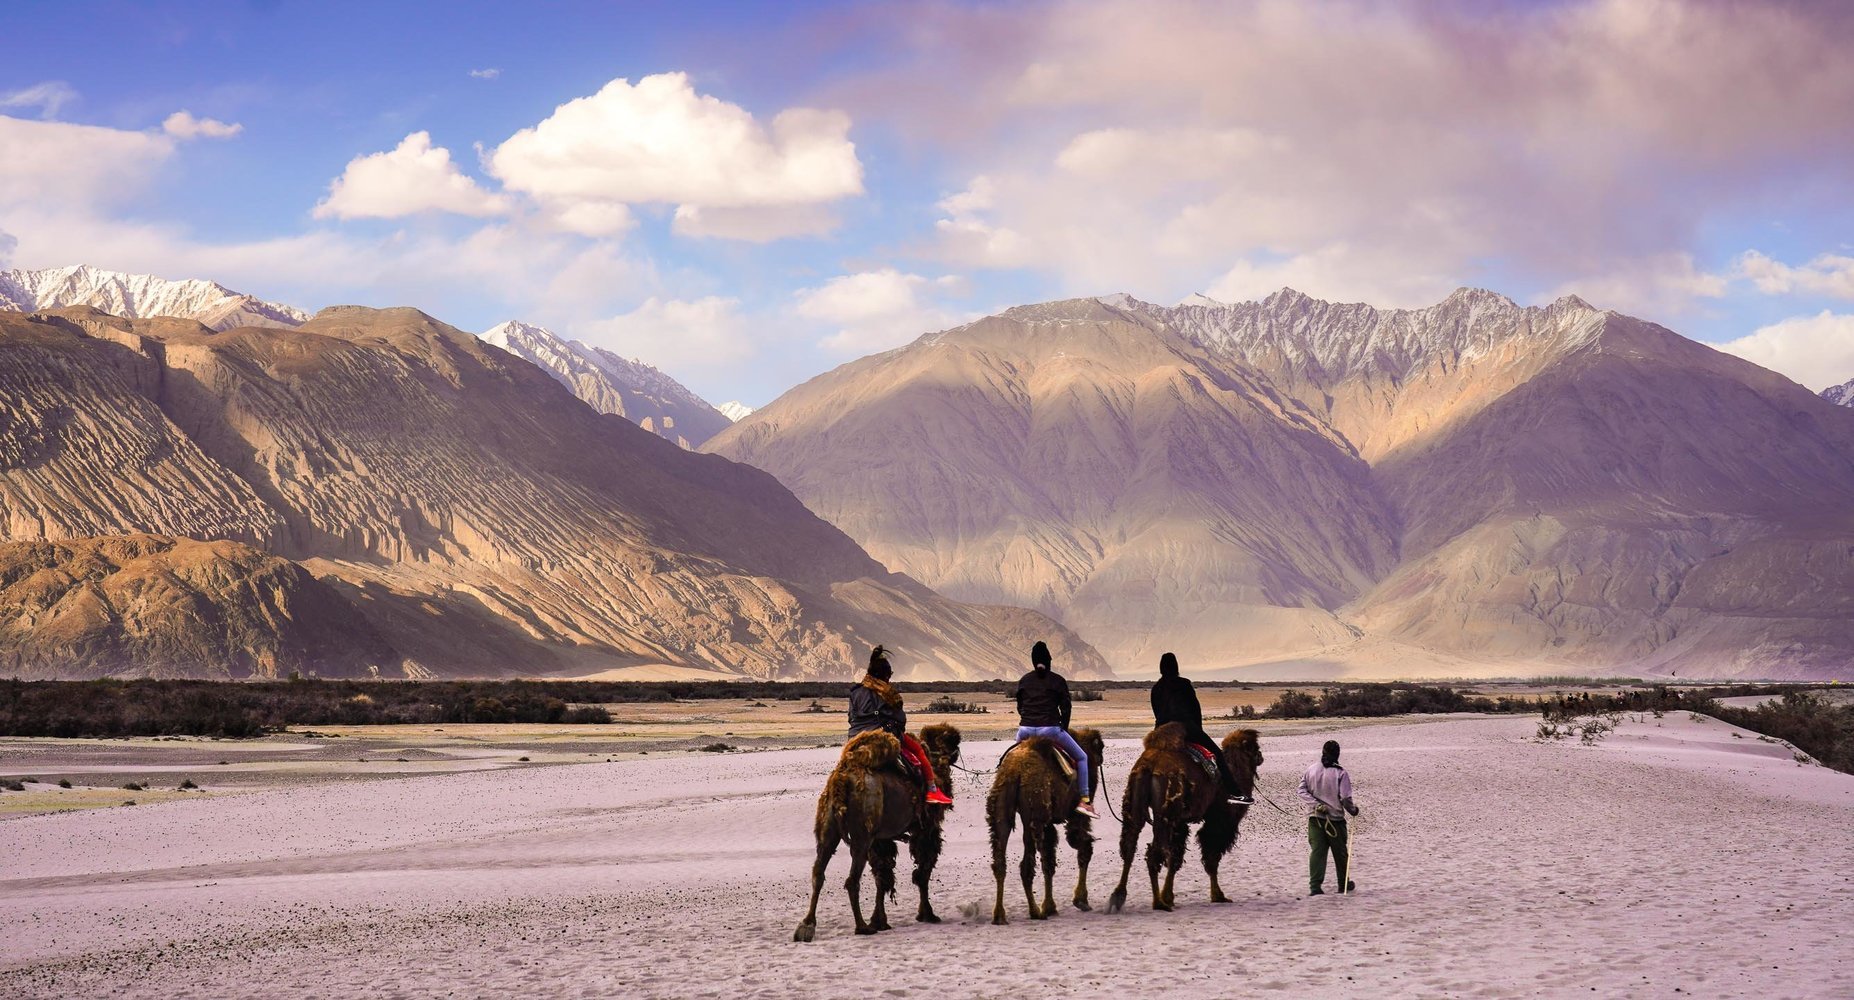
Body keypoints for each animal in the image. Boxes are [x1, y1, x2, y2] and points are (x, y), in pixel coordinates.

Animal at [793, 719, 964, 938]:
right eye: (954, 741)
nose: (956, 753)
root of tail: (841, 778)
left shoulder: (881, 838)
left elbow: (882, 876)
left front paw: (880, 920)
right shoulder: (926, 829)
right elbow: (922, 872)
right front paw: (927, 914)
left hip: (828, 831)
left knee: (818, 872)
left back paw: (806, 926)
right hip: (861, 837)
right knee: (852, 880)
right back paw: (862, 926)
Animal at [993, 727, 1104, 923]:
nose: (1101, 760)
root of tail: (1015, 771)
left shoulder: (1050, 822)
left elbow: (1048, 862)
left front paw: (1050, 906)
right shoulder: (1075, 815)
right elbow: (1083, 847)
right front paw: (1080, 900)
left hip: (1003, 806)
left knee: (1001, 860)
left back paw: (1000, 915)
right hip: (1034, 813)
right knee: (1027, 865)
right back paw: (1035, 912)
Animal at [1104, 727, 1268, 916]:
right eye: (1255, 747)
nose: (1261, 756)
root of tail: (1149, 766)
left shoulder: (1180, 822)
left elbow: (1175, 857)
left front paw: (1169, 895)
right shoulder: (1217, 820)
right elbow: (1211, 855)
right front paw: (1218, 895)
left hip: (1136, 804)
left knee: (1130, 847)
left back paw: (1118, 897)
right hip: (1165, 814)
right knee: (1153, 853)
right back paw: (1158, 903)